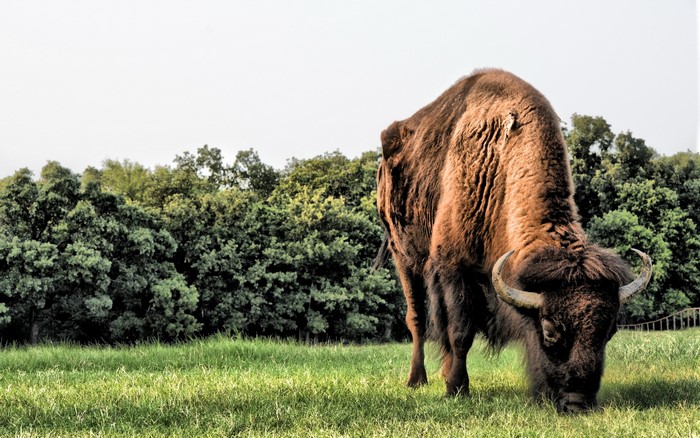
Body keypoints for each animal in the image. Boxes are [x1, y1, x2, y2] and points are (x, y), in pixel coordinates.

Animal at [375, 69, 652, 413]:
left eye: (609, 330)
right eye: (549, 331)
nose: (578, 403)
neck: (499, 164)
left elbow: (454, 330)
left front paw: (452, 381)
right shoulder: (453, 267)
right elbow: (460, 331)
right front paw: (457, 389)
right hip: (404, 257)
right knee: (418, 320)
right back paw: (417, 380)